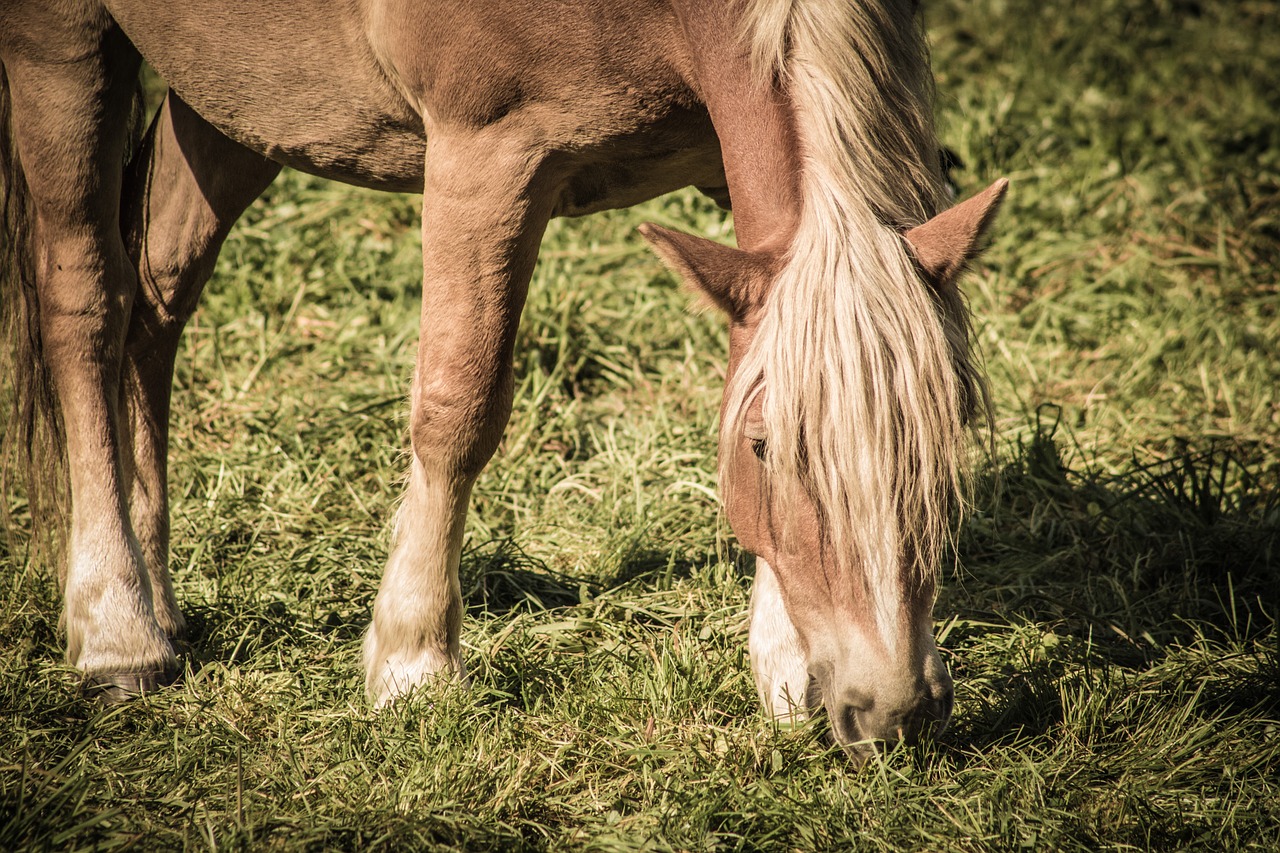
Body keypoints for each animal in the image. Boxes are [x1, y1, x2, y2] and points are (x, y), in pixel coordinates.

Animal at [0, 1, 998, 758]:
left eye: (948, 432)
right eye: (764, 446)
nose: (896, 708)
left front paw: (786, 664)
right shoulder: (487, 154)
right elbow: (458, 403)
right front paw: (414, 663)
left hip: (234, 97)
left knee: (157, 303)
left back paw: (157, 592)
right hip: (67, 48)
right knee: (86, 303)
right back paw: (117, 626)